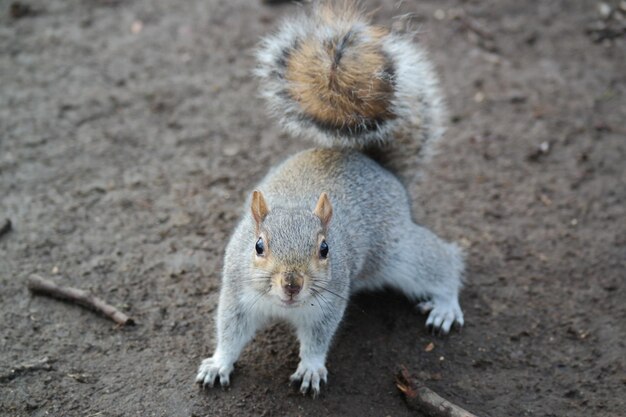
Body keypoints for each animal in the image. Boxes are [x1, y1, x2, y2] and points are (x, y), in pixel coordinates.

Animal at [195, 0, 464, 396]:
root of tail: (377, 167)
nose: (292, 284)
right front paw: (218, 364)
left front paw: (310, 368)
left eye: (325, 249)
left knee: (442, 261)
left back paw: (445, 305)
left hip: (399, 251)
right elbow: (230, 333)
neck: (285, 306)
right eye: (258, 246)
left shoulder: (327, 304)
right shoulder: (237, 295)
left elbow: (317, 339)